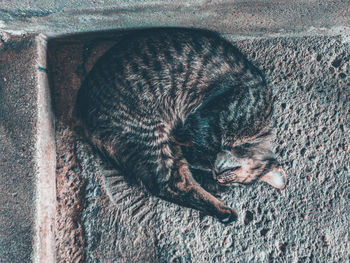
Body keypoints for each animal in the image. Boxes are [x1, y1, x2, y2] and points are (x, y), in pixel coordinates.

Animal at [75, 27, 286, 225]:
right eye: (234, 174)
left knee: (176, 180)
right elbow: (201, 149)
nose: (218, 176)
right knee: (167, 185)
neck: (255, 129)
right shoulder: (204, 122)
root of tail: (82, 109)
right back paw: (225, 212)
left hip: (158, 145)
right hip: (151, 135)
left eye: (234, 180)